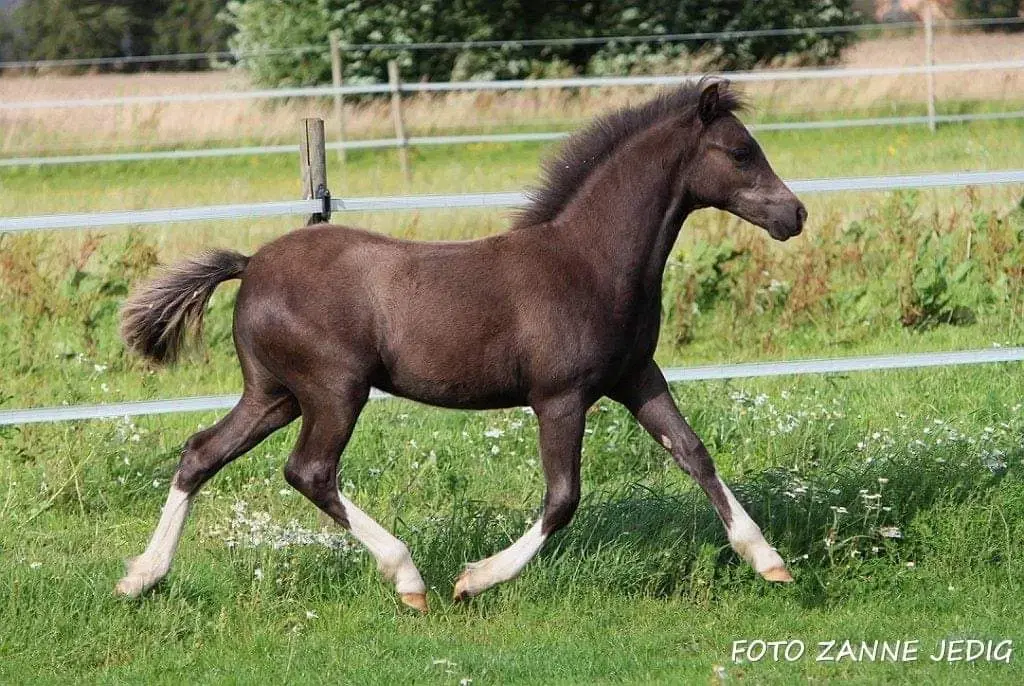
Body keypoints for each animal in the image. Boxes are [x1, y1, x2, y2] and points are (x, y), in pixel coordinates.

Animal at [117, 80, 806, 614]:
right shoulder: (560, 397)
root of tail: (251, 264)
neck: (589, 261)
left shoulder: (636, 376)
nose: (794, 215)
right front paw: (473, 581)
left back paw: (141, 578)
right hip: (334, 391)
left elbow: (694, 453)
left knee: (201, 453)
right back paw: (408, 579)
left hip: (275, 395)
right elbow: (563, 498)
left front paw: (769, 560)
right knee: (308, 470)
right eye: (740, 152)